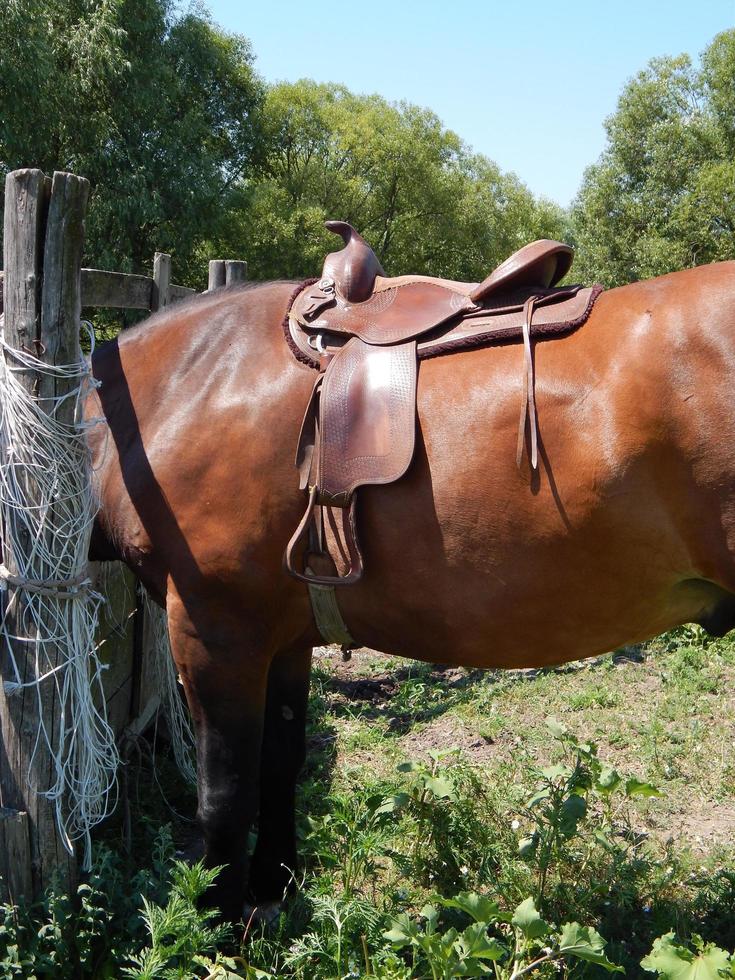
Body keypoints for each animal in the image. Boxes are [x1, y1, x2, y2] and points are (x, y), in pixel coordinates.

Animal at [86, 260, 735, 920]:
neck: (190, 382)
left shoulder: (213, 630)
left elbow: (225, 796)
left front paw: (215, 922)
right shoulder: (283, 637)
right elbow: (280, 763)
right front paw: (273, 896)